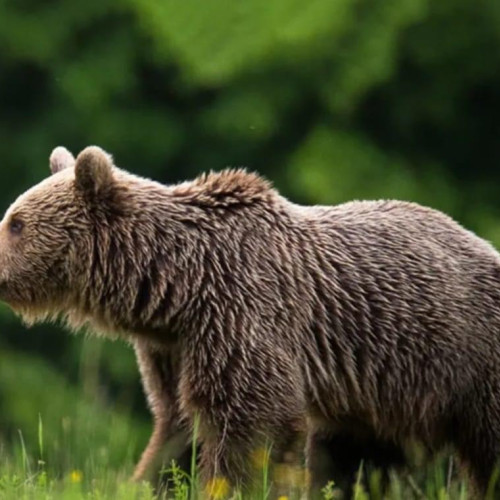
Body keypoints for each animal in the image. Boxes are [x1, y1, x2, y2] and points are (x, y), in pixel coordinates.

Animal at [0, 146, 500, 494]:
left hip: (467, 357)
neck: (175, 283)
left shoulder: (241, 311)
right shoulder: (175, 345)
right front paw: (150, 482)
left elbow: (250, 421)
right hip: (379, 390)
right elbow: (179, 427)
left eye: (16, 223)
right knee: (362, 454)